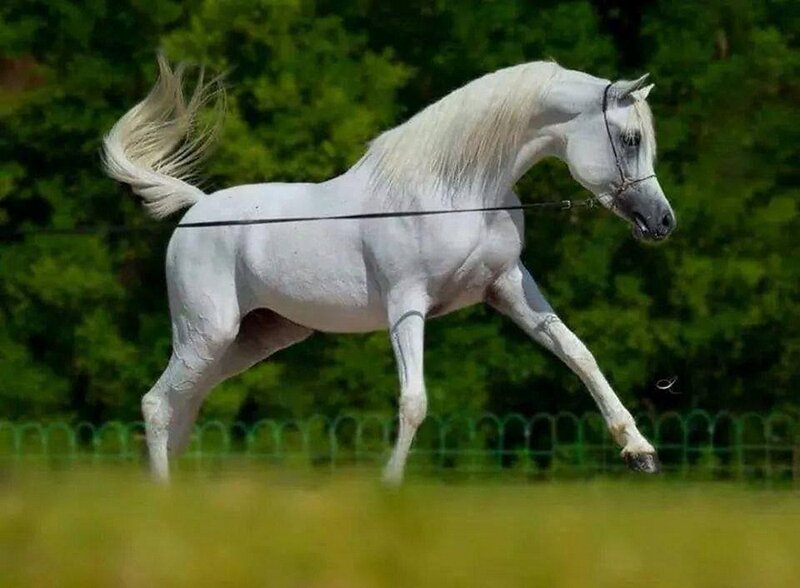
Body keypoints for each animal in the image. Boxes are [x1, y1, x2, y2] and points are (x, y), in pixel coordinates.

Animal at [102, 57, 675, 483]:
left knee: (182, 407)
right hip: (207, 333)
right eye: (629, 139)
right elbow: (414, 401)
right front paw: (391, 486)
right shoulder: (407, 304)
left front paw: (640, 451)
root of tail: (197, 208)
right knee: (157, 404)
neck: (458, 193)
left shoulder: (509, 288)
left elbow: (579, 354)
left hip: (252, 340)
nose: (661, 221)